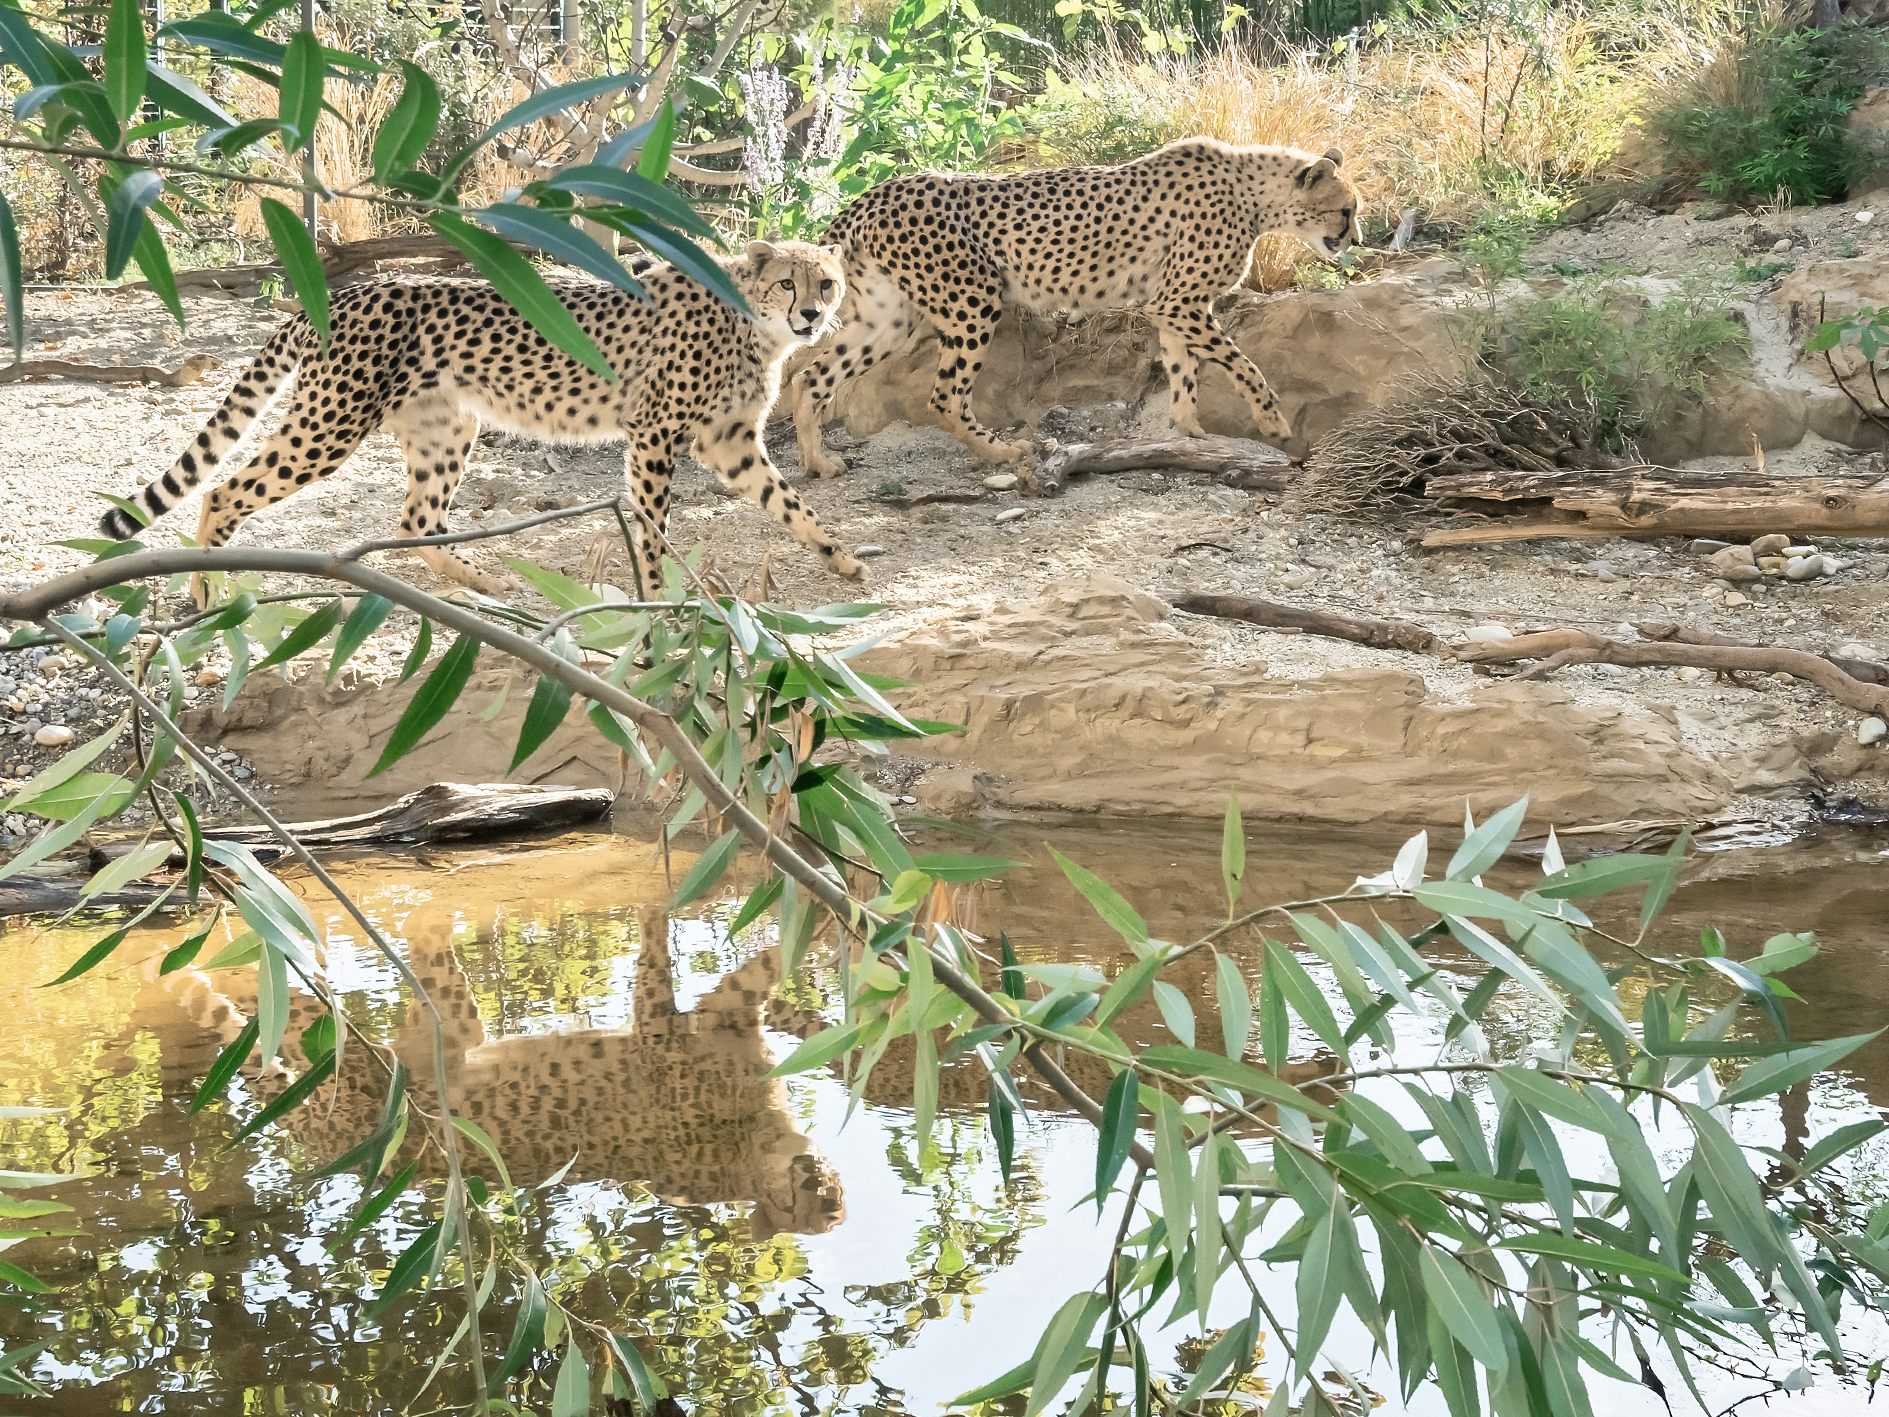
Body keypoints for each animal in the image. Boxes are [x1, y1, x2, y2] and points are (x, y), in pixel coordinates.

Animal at [103, 243, 865, 600]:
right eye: (788, 282)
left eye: (826, 283)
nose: (812, 315)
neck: (754, 323)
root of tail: (343, 294)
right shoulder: (653, 434)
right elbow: (652, 528)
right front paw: (654, 593)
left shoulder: (730, 442)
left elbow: (791, 505)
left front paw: (842, 559)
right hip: (329, 426)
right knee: (221, 492)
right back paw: (207, 593)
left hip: (447, 430)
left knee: (415, 521)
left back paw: (486, 585)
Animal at [789, 136, 1367, 478]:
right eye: (1345, 209)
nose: (1357, 239)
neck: (1254, 194)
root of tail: (873, 194)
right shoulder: (1178, 301)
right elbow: (1243, 365)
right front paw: (1274, 425)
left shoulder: (1171, 307)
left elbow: (1184, 371)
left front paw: (1190, 434)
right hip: (973, 301)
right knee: (944, 396)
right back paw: (1003, 453)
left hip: (890, 319)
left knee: (811, 376)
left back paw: (818, 462)